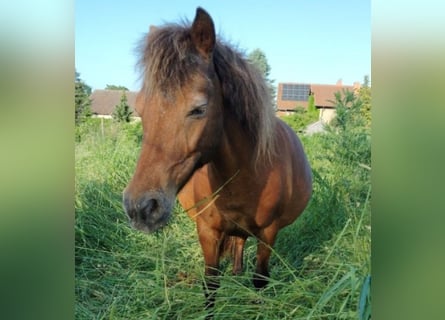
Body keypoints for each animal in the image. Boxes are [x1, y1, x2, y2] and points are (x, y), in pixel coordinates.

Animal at [122, 6, 312, 314]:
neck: (248, 174)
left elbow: (260, 281)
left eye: (199, 109)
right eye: (140, 108)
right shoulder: (208, 232)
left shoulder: (269, 234)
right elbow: (210, 285)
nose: (141, 208)